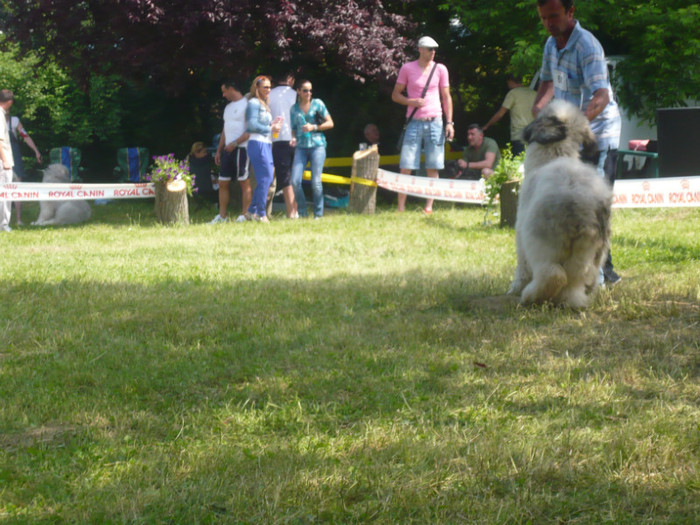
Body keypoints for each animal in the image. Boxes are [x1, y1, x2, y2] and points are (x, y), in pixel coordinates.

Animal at [508, 99, 612, 308]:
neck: (556, 154)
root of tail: (582, 210)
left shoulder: (520, 235)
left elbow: (521, 269)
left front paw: (513, 289)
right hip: (590, 252)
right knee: (577, 280)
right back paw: (570, 301)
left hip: (541, 244)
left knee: (553, 275)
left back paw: (529, 296)